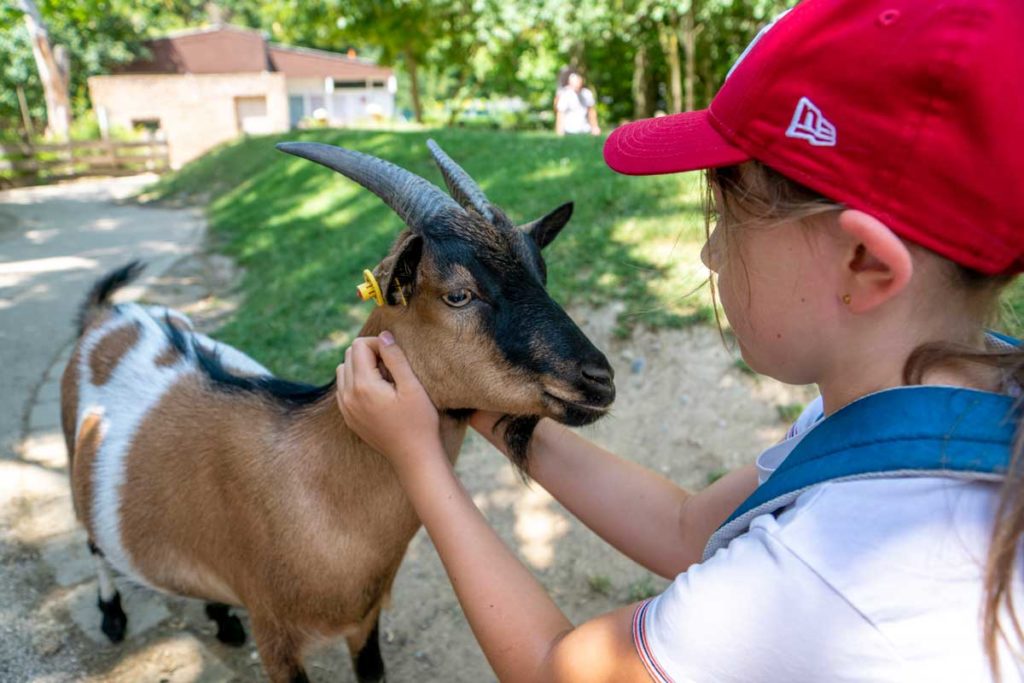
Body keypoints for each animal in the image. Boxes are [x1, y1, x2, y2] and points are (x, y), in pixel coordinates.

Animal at [64, 140, 614, 683]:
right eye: (458, 294)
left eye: (542, 275)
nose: (599, 379)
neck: (316, 486)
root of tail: (109, 313)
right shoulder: (276, 636)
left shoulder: (365, 621)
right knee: (92, 543)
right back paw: (112, 616)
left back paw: (222, 621)